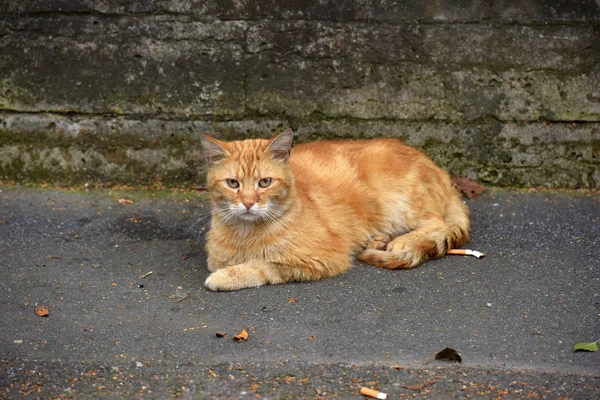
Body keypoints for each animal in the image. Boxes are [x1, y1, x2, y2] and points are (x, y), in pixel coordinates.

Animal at [200, 128, 468, 290]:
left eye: (264, 182)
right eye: (233, 184)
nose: (248, 203)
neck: (246, 234)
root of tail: (441, 171)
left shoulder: (321, 259)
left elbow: (263, 266)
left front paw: (225, 277)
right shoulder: (216, 258)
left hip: (401, 204)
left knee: (437, 223)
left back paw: (402, 241)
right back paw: (378, 240)